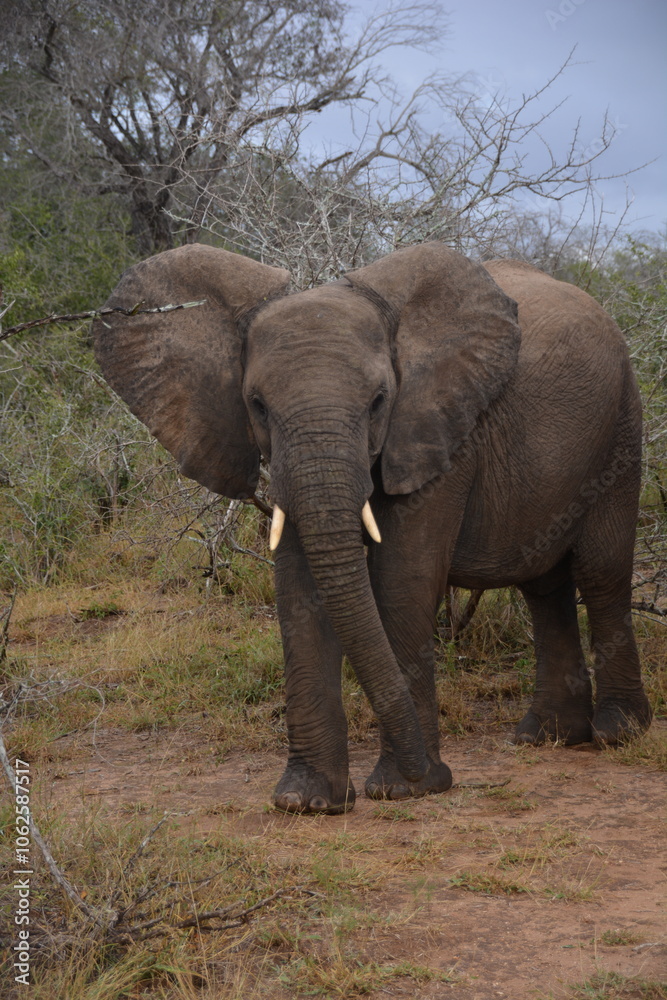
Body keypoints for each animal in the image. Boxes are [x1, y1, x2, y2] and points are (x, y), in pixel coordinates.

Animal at [93, 241, 652, 814]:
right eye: (257, 405)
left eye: (380, 400)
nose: (436, 773)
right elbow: (300, 588)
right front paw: (308, 802)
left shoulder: (437, 431)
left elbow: (402, 580)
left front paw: (402, 790)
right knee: (544, 585)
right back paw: (547, 735)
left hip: (621, 424)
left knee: (601, 572)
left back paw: (617, 732)